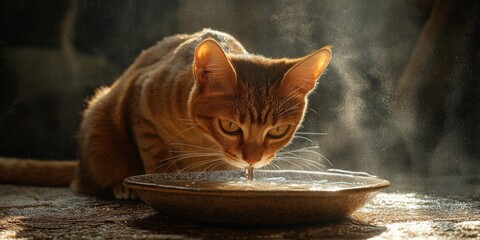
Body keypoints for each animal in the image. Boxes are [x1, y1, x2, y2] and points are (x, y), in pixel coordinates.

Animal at [0, 29, 330, 199]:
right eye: (229, 126)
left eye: (278, 131)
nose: (252, 159)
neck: (203, 141)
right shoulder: (140, 103)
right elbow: (156, 158)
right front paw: (165, 182)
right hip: (99, 119)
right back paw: (120, 185)